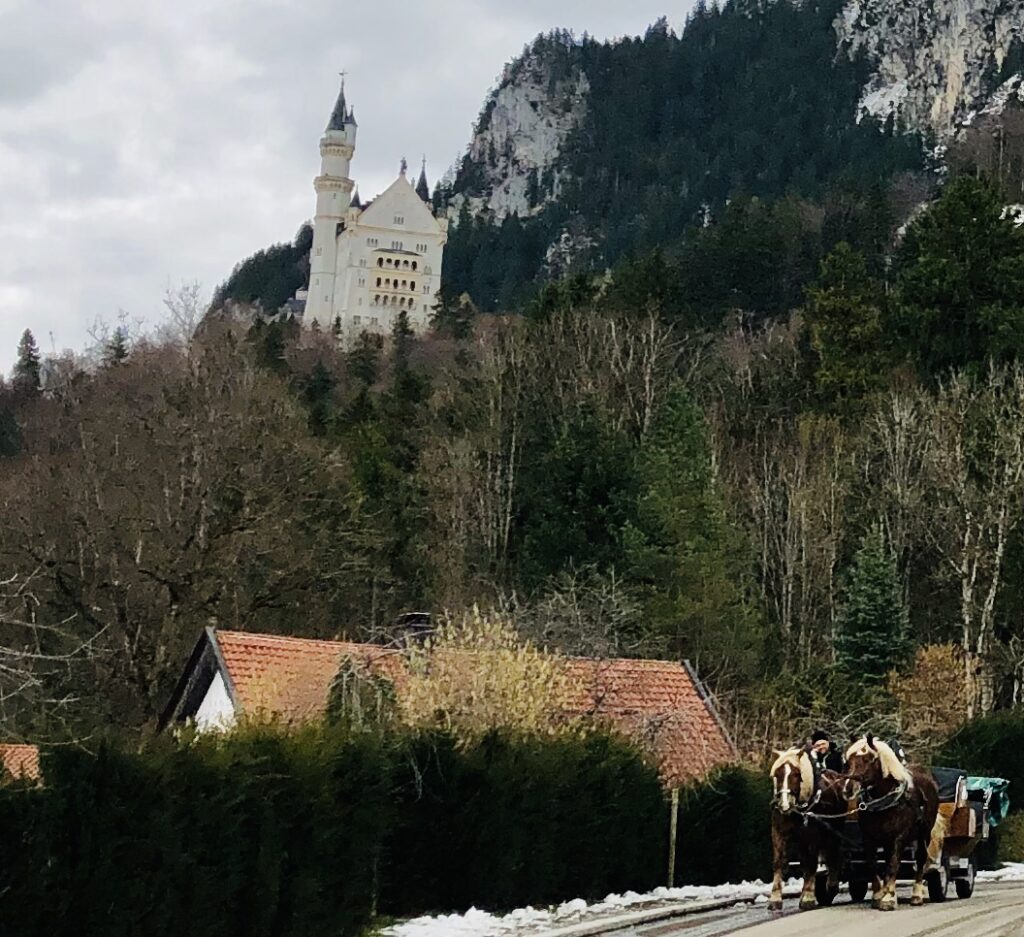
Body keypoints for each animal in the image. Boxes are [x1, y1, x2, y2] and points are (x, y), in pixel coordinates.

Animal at [770, 745, 847, 913]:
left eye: (796, 774)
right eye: (777, 774)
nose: (784, 804)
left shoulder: (812, 833)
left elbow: (811, 863)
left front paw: (807, 897)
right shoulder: (779, 831)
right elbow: (779, 862)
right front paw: (775, 898)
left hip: (833, 831)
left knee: (833, 855)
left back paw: (831, 887)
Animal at [843, 737, 946, 913]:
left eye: (867, 759)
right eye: (849, 761)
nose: (848, 789)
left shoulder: (899, 838)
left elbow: (893, 865)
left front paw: (888, 899)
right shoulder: (869, 838)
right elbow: (873, 865)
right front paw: (879, 895)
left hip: (924, 834)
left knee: (920, 859)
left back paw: (916, 895)